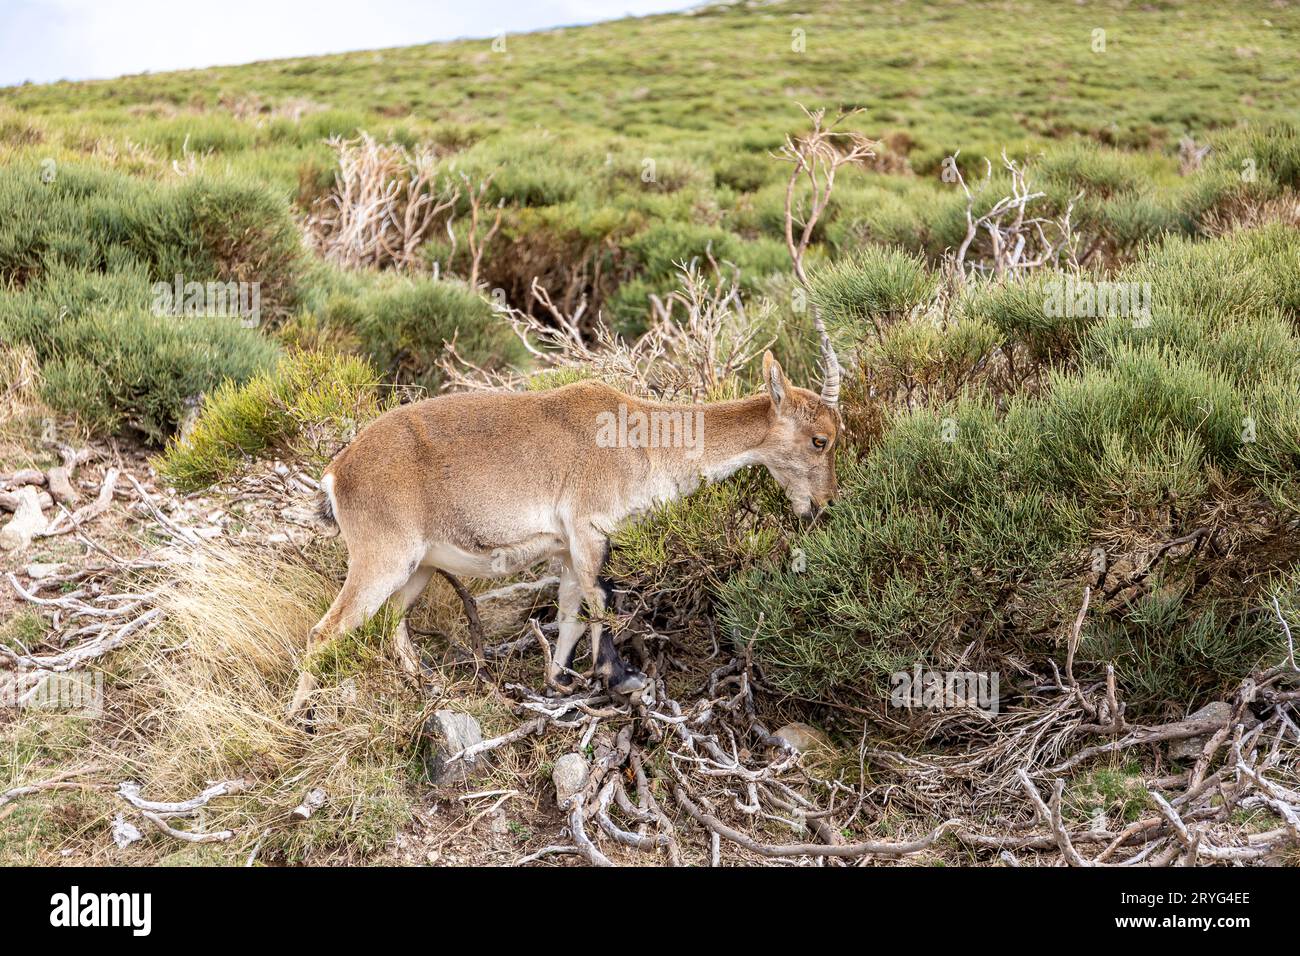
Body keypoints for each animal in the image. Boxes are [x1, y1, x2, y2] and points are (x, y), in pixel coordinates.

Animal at [289, 351, 840, 715]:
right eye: (821, 440)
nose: (826, 506)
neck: (642, 439)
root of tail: (337, 473)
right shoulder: (590, 528)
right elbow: (603, 603)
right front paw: (620, 679)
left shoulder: (571, 549)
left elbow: (572, 613)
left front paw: (559, 680)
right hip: (381, 558)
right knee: (324, 632)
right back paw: (302, 719)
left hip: (417, 569)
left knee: (391, 627)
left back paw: (431, 687)